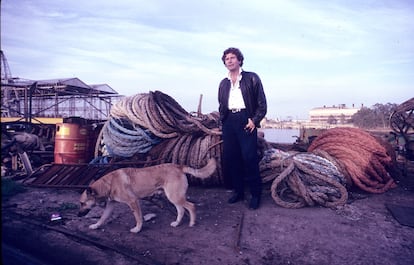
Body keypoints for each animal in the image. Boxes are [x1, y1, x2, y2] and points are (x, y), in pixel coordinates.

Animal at [77, 158, 217, 232]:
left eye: (82, 203)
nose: (77, 215)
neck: (108, 184)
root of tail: (179, 166)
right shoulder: (110, 205)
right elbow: (102, 218)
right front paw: (96, 225)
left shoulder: (133, 202)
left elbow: (138, 218)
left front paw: (137, 229)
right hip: (173, 198)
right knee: (181, 210)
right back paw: (177, 223)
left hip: (174, 196)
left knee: (191, 206)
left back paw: (192, 223)